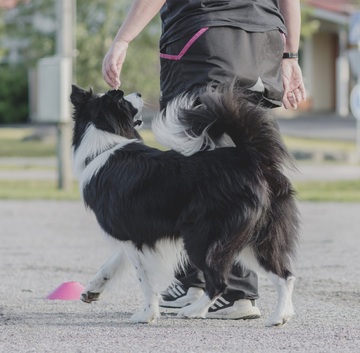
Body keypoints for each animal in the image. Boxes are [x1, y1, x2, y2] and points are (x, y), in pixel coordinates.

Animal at [70, 82, 300, 324]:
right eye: (125, 100)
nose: (139, 93)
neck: (103, 143)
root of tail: (250, 158)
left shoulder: (133, 236)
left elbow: (144, 281)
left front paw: (147, 314)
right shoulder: (133, 234)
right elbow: (112, 262)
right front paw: (92, 290)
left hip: (202, 237)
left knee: (219, 281)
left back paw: (193, 311)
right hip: (256, 239)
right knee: (285, 275)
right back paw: (280, 316)